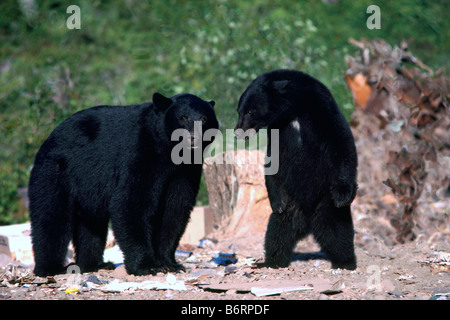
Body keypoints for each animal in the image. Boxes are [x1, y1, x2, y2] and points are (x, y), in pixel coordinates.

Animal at [29, 92, 219, 276]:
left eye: (204, 119)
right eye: (183, 118)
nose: (194, 138)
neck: (170, 152)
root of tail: (48, 139)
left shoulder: (185, 171)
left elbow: (175, 209)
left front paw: (169, 263)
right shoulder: (141, 153)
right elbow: (131, 202)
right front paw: (146, 266)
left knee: (91, 225)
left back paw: (94, 264)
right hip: (56, 172)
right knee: (51, 216)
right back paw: (51, 268)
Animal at [236, 69, 358, 270]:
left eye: (250, 111)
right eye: (239, 111)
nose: (238, 132)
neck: (293, 110)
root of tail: (307, 223)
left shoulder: (323, 111)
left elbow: (341, 142)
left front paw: (343, 193)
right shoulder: (277, 129)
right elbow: (274, 160)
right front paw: (277, 201)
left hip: (326, 202)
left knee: (338, 231)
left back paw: (345, 262)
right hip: (291, 207)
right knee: (277, 231)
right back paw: (271, 262)